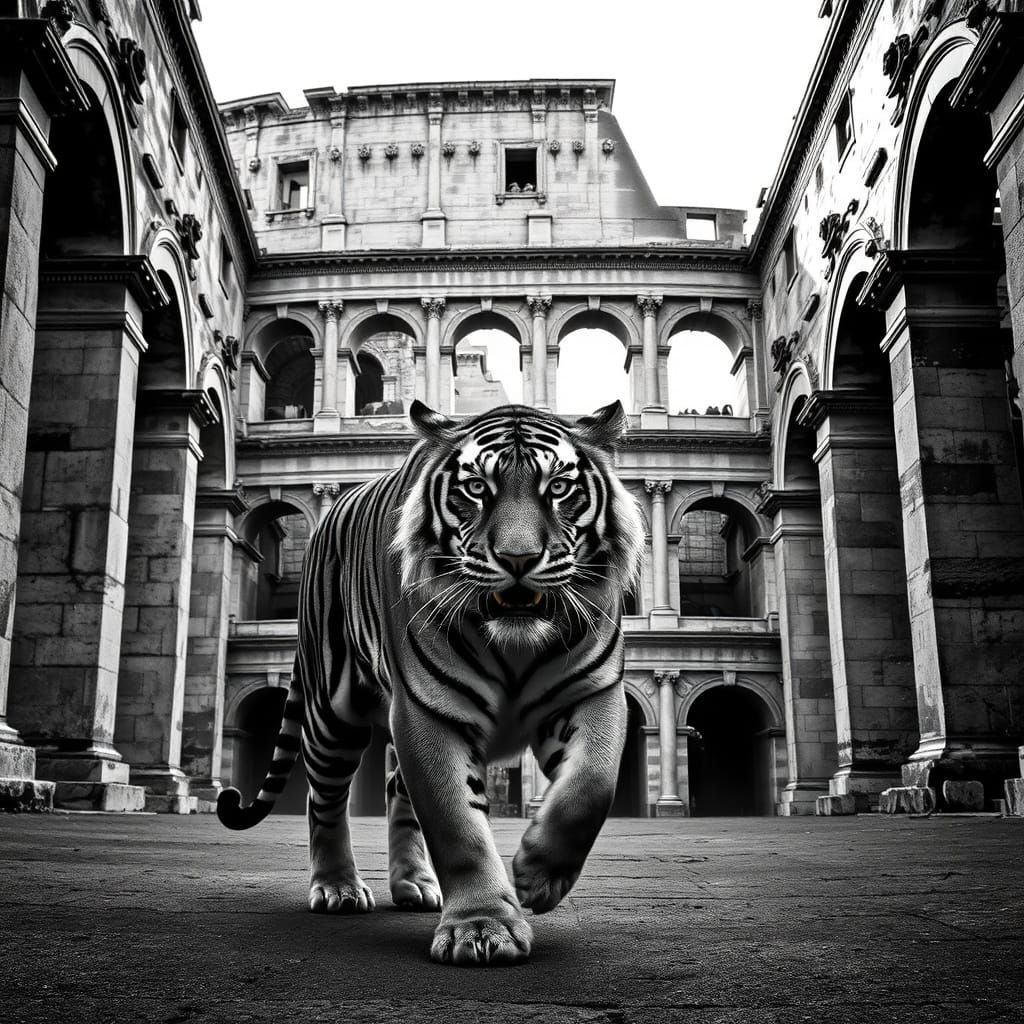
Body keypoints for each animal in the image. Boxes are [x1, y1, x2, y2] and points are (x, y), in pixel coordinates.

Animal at [217, 399, 643, 966]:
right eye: (477, 487)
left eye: (558, 487)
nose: (518, 559)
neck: (514, 642)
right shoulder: (429, 712)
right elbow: (455, 823)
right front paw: (481, 928)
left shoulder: (592, 693)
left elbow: (591, 785)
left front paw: (537, 876)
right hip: (333, 716)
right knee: (323, 799)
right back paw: (338, 887)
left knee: (396, 791)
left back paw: (415, 884)